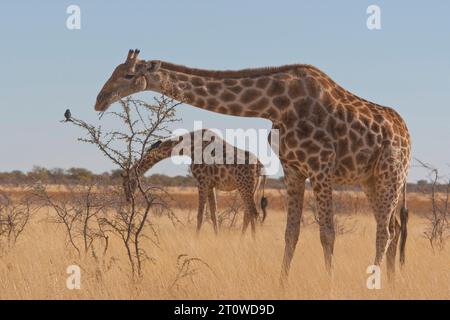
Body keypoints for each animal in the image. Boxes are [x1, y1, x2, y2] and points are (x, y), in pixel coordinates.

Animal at [122, 129, 268, 236]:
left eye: (127, 182)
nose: (128, 199)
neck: (188, 148)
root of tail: (259, 164)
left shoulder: (201, 181)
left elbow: (200, 215)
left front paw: (196, 239)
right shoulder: (210, 184)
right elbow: (213, 214)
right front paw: (217, 237)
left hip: (244, 185)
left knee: (254, 212)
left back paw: (253, 241)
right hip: (252, 186)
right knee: (248, 213)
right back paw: (242, 239)